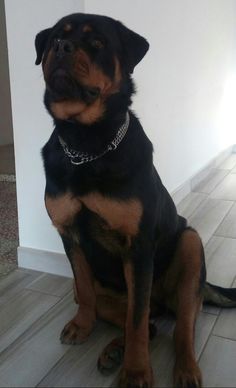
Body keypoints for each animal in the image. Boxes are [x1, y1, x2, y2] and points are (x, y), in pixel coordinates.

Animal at [35, 12, 236, 388]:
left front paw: (138, 370)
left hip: (189, 246)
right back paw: (114, 349)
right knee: (147, 317)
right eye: (55, 38)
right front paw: (83, 326)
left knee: (178, 325)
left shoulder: (138, 245)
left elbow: (138, 319)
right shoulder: (69, 236)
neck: (86, 143)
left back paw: (185, 369)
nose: (61, 47)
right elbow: (86, 290)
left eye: (97, 42)